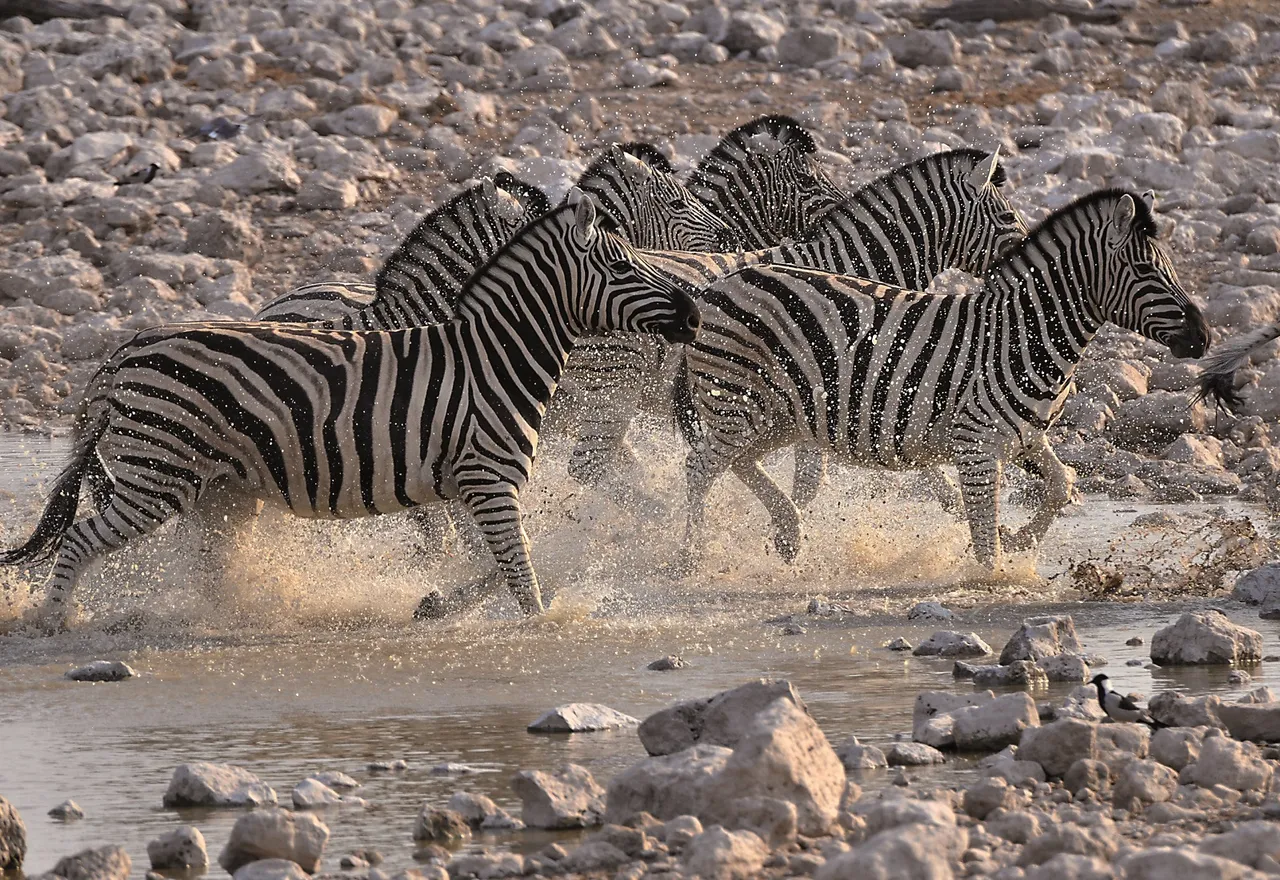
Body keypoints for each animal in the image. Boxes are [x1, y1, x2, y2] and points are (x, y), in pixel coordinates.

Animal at [1, 197, 700, 633]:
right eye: (622, 265)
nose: (693, 313)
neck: (491, 357)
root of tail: (122, 355)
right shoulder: (487, 478)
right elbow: (519, 573)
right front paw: (543, 628)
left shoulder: (470, 485)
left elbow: (491, 567)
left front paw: (437, 604)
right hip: (156, 475)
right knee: (80, 538)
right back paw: (54, 621)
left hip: (219, 491)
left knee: (209, 566)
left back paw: (235, 618)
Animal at [675, 189, 1209, 572]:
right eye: (1145, 269)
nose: (1204, 337)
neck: (1020, 334)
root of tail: (715, 285)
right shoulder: (977, 443)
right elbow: (984, 538)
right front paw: (996, 582)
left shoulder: (1026, 436)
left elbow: (1062, 485)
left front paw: (1021, 539)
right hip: (738, 402)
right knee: (699, 468)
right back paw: (690, 558)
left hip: (777, 415)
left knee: (736, 461)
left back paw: (787, 531)